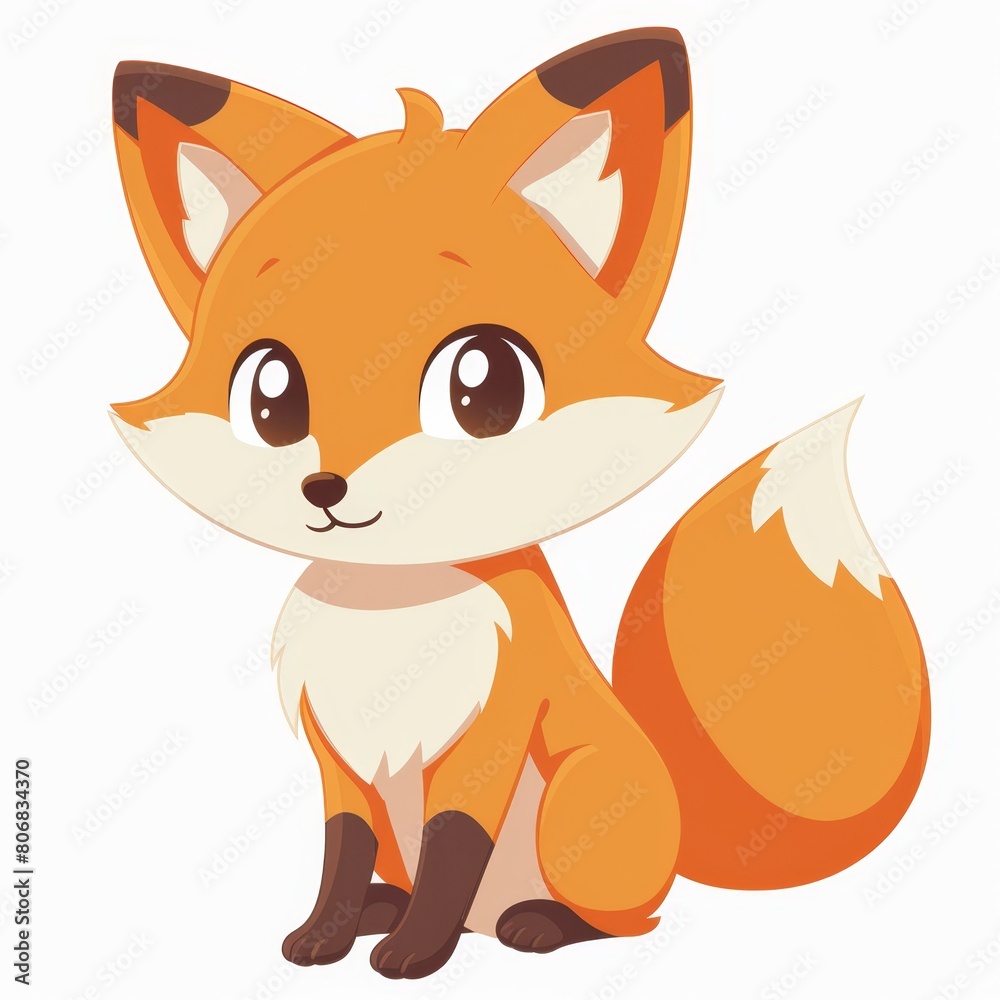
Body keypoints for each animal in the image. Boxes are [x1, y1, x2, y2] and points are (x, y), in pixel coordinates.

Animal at [109, 28, 929, 981]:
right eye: (270, 395)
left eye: (485, 387)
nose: (325, 489)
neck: (392, 613)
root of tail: (681, 837)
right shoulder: (337, 759)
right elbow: (341, 851)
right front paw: (325, 935)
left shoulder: (488, 738)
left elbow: (455, 842)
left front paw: (412, 955)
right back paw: (393, 912)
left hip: (580, 803)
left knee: (614, 921)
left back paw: (530, 924)